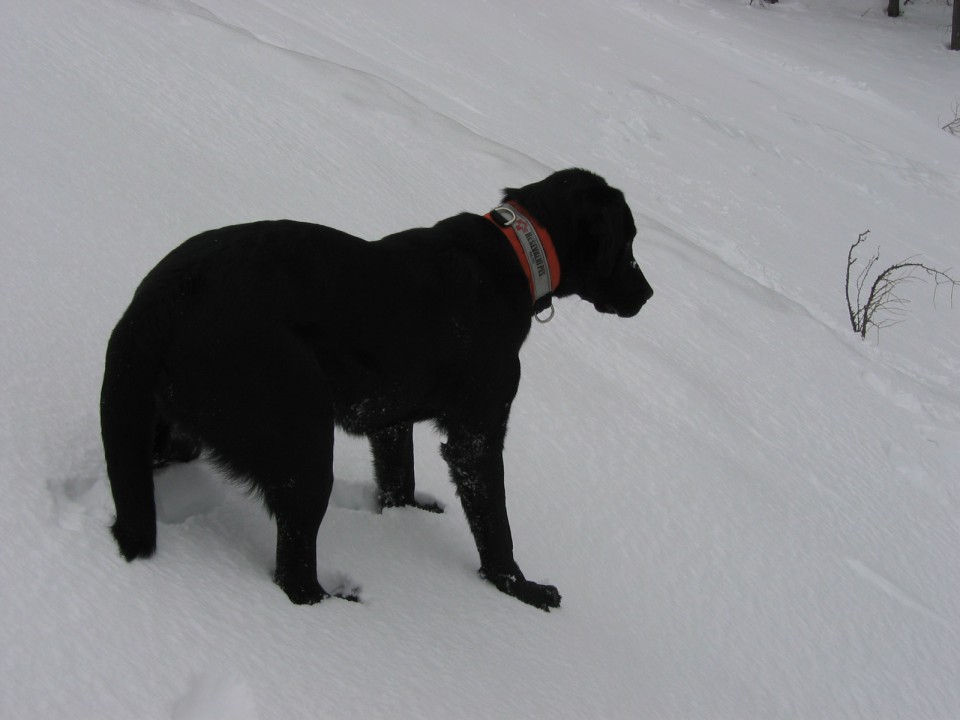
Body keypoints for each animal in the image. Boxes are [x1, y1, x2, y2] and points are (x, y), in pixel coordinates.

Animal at [101, 167, 652, 608]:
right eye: (627, 242)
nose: (648, 294)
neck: (515, 256)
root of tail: (160, 300)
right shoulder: (477, 436)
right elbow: (497, 530)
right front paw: (521, 589)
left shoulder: (391, 418)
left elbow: (398, 479)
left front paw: (407, 516)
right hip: (301, 439)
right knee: (293, 574)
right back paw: (336, 602)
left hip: (180, 425)